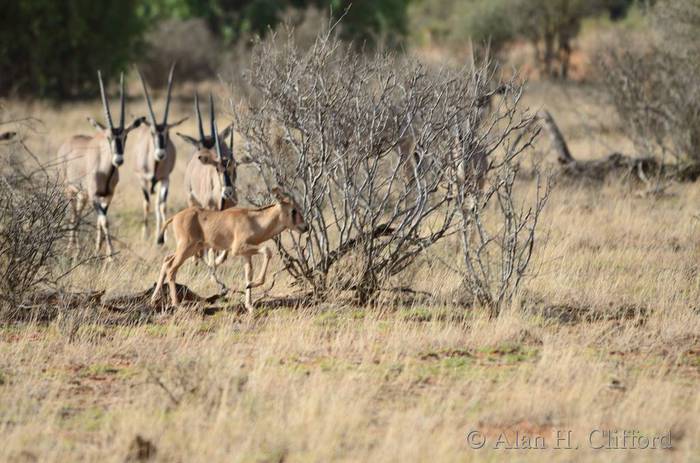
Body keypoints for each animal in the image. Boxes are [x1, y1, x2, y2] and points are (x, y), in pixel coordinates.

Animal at [57, 74, 145, 260]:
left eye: (125, 136)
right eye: (108, 137)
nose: (118, 160)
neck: (106, 169)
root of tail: (66, 143)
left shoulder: (107, 196)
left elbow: (101, 219)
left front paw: (98, 250)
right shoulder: (94, 196)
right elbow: (104, 220)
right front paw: (111, 255)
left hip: (82, 195)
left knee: (78, 214)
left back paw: (76, 249)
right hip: (68, 189)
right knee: (73, 215)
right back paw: (70, 250)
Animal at [130, 65, 187, 243]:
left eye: (168, 133)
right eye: (152, 132)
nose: (161, 154)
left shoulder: (166, 178)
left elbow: (162, 205)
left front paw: (163, 237)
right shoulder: (142, 179)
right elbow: (146, 203)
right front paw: (145, 235)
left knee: (158, 204)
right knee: (150, 203)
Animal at [152, 186, 308, 312]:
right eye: (293, 210)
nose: (305, 227)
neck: (254, 220)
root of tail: (175, 217)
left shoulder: (246, 254)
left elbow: (248, 275)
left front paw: (249, 304)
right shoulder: (238, 249)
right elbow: (267, 250)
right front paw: (254, 284)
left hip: (190, 249)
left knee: (166, 260)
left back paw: (154, 299)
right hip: (186, 248)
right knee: (171, 268)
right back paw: (176, 304)